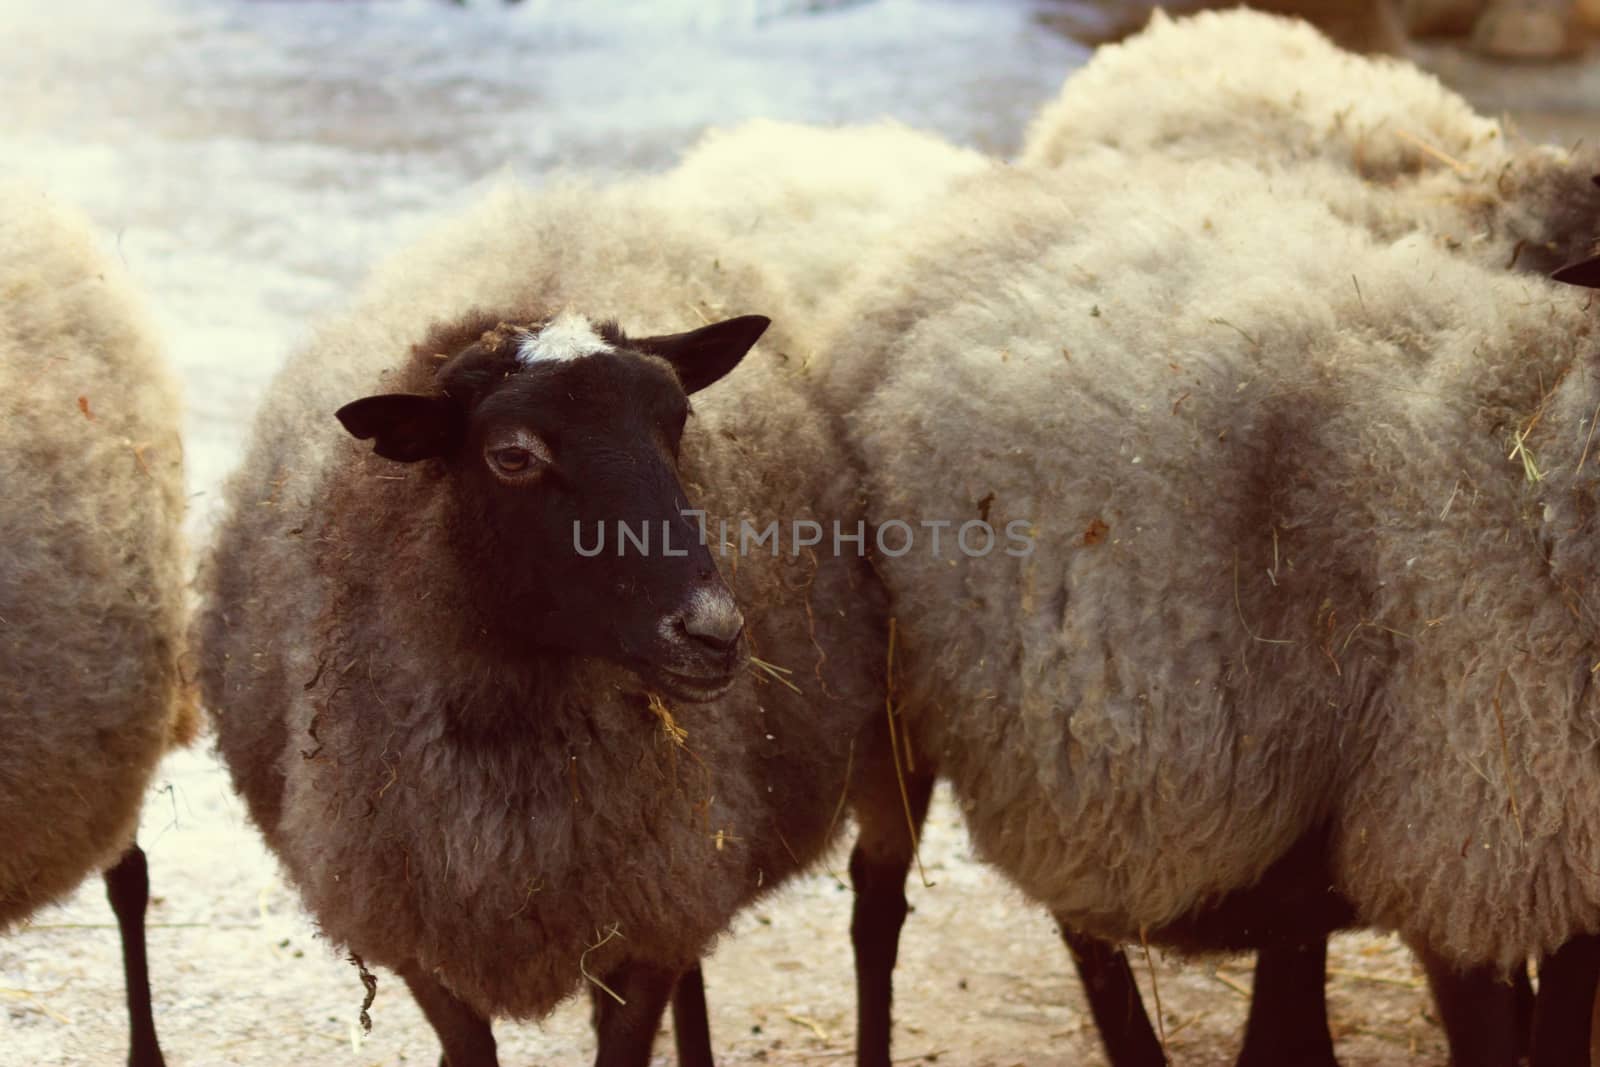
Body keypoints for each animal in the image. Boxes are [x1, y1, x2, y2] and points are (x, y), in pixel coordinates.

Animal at [196, 181, 889, 1067]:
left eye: (678, 421)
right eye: (513, 457)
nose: (712, 632)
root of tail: (564, 207)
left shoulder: (649, 918)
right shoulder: (411, 930)